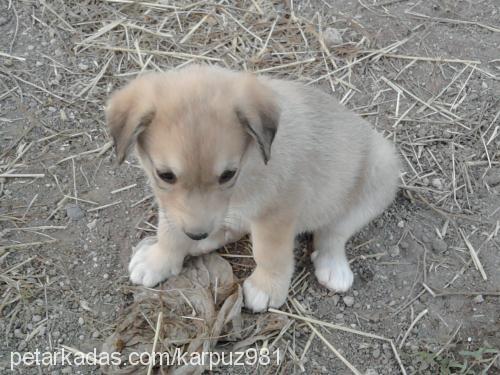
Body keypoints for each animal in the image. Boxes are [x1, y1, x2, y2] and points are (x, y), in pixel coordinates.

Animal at [107, 65, 400, 314]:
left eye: (228, 174)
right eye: (165, 175)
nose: (197, 233)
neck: (249, 166)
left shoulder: (278, 212)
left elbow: (269, 253)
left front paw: (266, 286)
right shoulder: (170, 205)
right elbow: (169, 232)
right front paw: (159, 260)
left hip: (379, 175)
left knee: (335, 232)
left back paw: (332, 265)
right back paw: (202, 244)